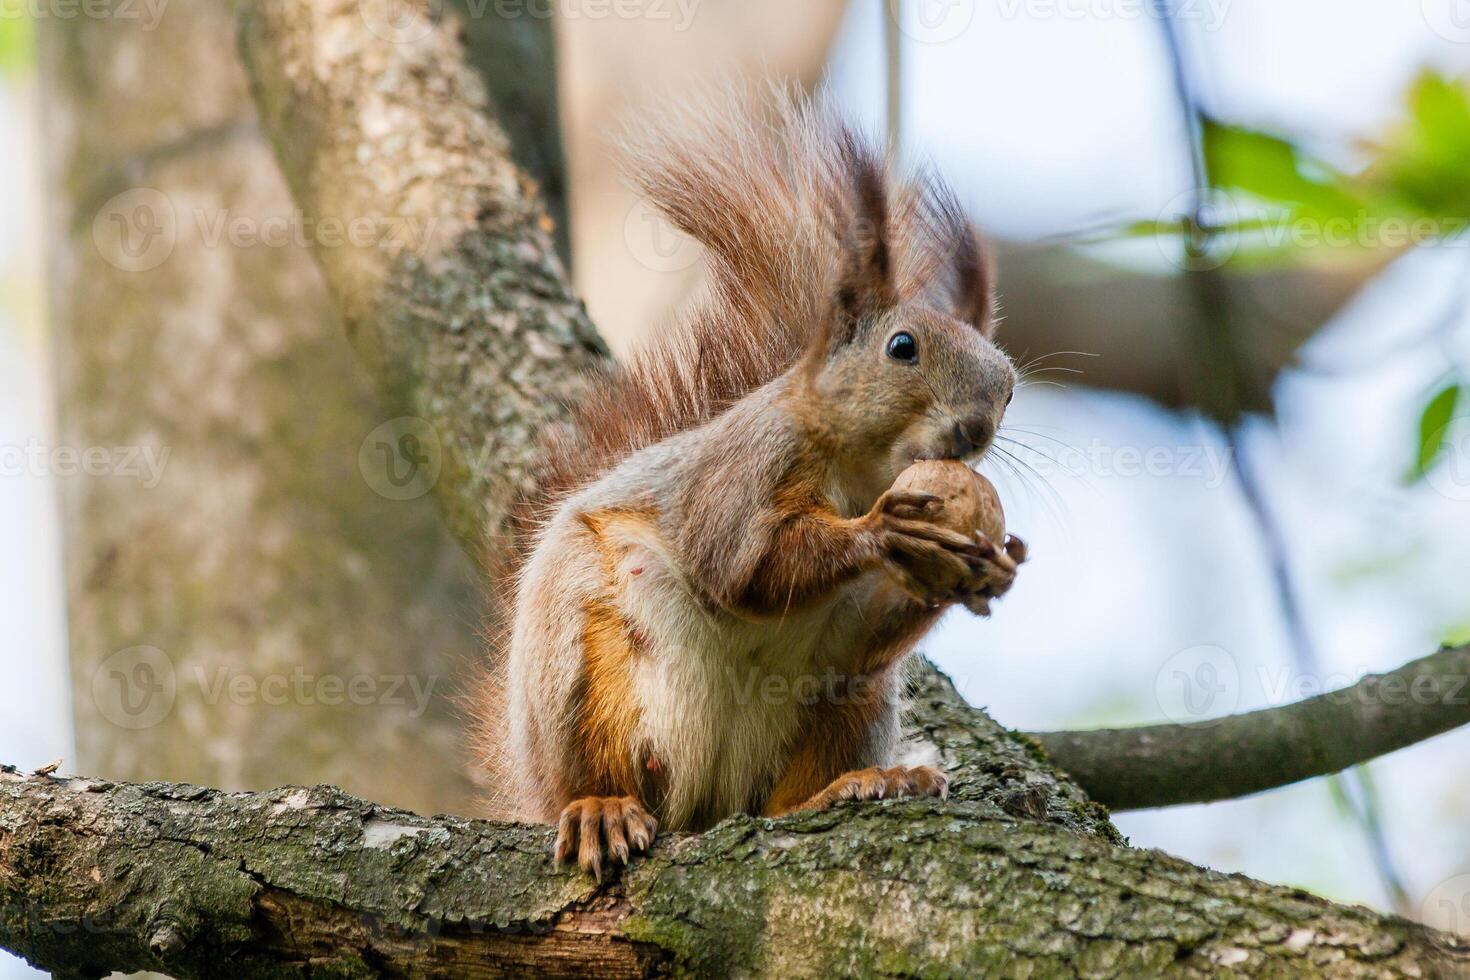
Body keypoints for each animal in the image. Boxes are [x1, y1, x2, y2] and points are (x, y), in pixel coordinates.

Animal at [470, 88, 1023, 875]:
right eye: (902, 347)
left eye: (1008, 388)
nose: (974, 430)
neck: (861, 472)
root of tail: (706, 804)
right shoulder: (745, 466)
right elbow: (740, 567)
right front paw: (883, 531)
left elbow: (861, 624)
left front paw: (986, 566)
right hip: (576, 655)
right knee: (592, 767)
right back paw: (601, 808)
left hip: (850, 700)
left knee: (791, 788)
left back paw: (858, 783)